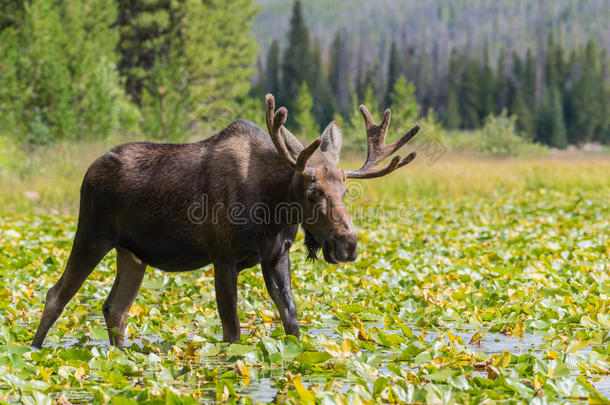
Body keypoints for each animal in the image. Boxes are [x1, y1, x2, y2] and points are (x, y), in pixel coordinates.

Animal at [32, 94, 418, 348]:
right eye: (313, 192)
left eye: (346, 189)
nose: (347, 244)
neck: (273, 208)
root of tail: (88, 171)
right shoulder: (224, 258)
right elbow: (232, 333)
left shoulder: (276, 256)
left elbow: (292, 323)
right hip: (91, 234)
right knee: (56, 295)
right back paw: (33, 351)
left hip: (132, 254)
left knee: (115, 309)